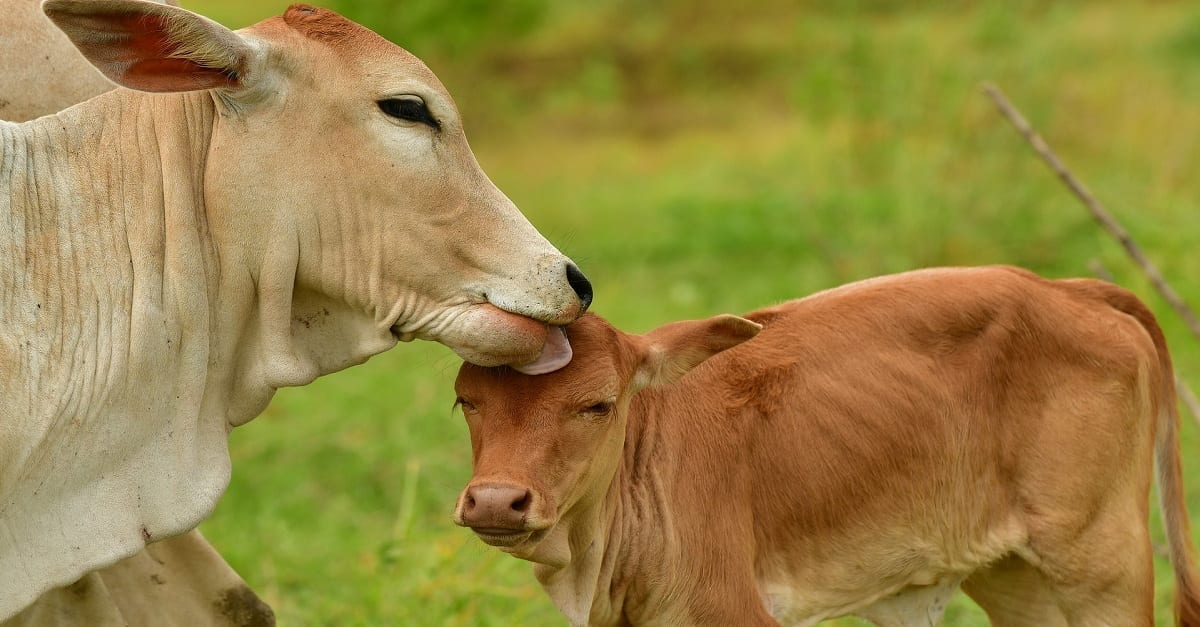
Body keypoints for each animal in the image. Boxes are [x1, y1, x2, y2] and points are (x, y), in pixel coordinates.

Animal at [451, 264, 1200, 624]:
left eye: (599, 404)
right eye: (466, 399)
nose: (495, 500)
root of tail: (1067, 286)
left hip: (1102, 561)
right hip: (1015, 574)